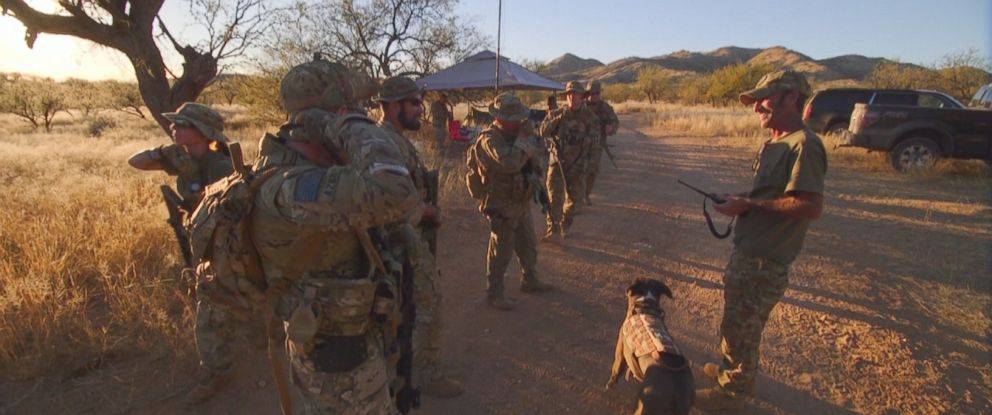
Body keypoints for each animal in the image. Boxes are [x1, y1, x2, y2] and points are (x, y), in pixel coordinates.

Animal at [600, 278, 692, 415]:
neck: (645, 305)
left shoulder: (621, 352)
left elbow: (616, 371)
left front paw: (609, 385)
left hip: (643, 406)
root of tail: (676, 391)